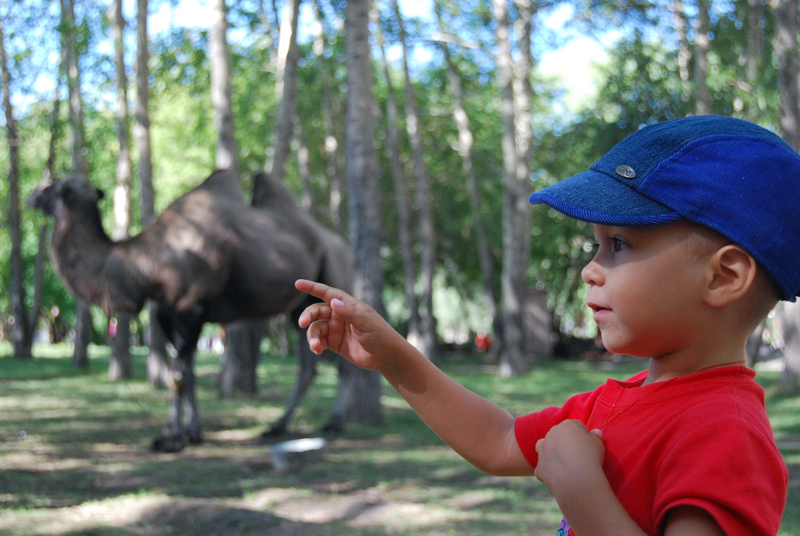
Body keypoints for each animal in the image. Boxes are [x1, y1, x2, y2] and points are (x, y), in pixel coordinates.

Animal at [29, 169, 354, 452]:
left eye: (55, 188)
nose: (32, 194)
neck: (146, 262)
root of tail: (341, 245)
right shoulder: (166, 312)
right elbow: (190, 372)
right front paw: (194, 431)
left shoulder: (191, 308)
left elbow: (178, 374)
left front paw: (170, 437)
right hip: (299, 306)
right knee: (308, 366)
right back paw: (277, 427)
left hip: (333, 280)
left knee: (341, 358)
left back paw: (335, 422)